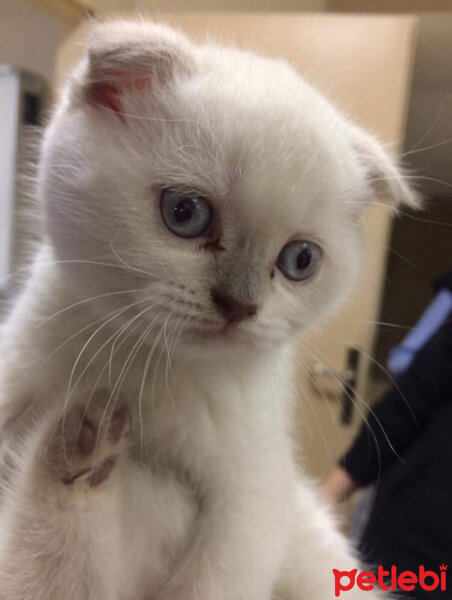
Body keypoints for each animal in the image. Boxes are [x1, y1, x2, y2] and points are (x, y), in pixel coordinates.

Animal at [0, 19, 418, 600]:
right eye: (185, 212)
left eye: (300, 260)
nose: (239, 305)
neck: (150, 370)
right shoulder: (16, 375)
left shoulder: (253, 502)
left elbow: (209, 582)